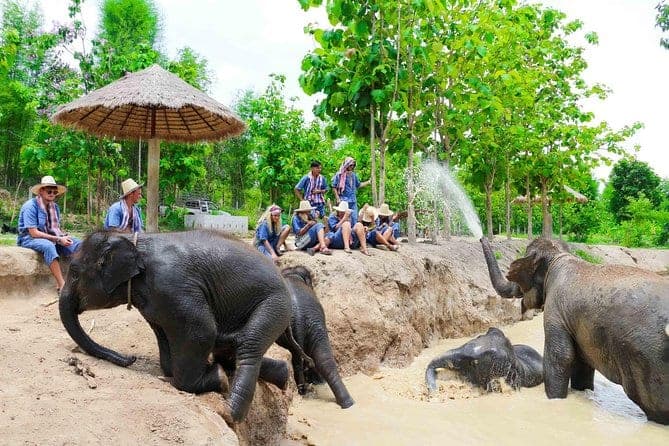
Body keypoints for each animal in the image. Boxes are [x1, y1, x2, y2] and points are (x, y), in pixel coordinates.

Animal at [59, 229, 304, 422]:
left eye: (74, 273)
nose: (130, 358)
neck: (131, 239)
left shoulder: (170, 285)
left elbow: (201, 330)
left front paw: (218, 378)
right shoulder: (155, 303)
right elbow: (165, 341)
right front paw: (201, 372)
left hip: (274, 303)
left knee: (249, 345)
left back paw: (229, 413)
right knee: (227, 348)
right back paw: (282, 374)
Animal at [276, 266, 354, 409]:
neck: (292, 274)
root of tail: (298, 317)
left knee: (310, 359)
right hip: (315, 325)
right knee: (324, 359)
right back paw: (348, 403)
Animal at [481, 236, 669, 424]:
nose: (482, 237)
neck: (559, 256)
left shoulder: (555, 311)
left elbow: (561, 357)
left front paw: (555, 399)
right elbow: (581, 363)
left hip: (650, 360)